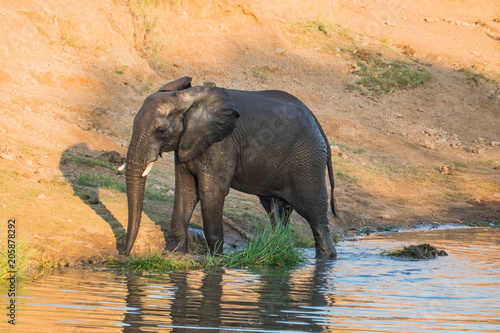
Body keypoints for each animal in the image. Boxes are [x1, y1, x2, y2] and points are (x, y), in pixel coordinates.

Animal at [121, 76, 338, 258]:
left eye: (162, 131)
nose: (124, 254)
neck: (189, 98)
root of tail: (317, 123)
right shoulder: (188, 142)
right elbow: (185, 191)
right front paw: (174, 254)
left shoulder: (220, 144)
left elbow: (211, 193)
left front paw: (215, 259)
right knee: (276, 210)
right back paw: (281, 246)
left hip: (308, 160)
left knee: (314, 214)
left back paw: (327, 258)